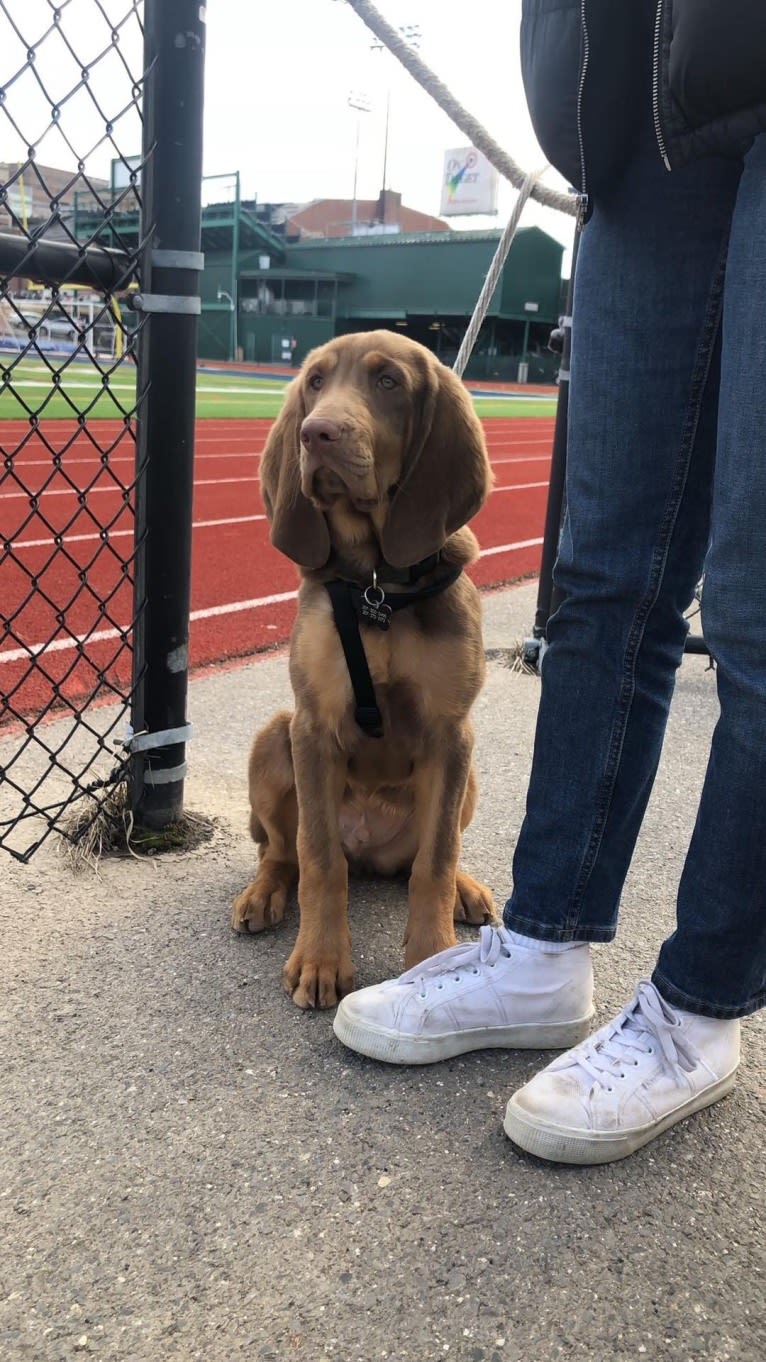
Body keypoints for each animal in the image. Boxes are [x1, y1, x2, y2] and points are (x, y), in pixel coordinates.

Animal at [231, 332, 496, 1013]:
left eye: (388, 383)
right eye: (315, 382)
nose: (317, 434)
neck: (380, 586)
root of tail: (372, 852)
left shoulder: (450, 732)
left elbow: (434, 861)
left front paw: (431, 959)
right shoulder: (314, 724)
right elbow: (320, 860)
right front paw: (321, 960)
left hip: (468, 772)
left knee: (423, 860)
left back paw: (467, 889)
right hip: (274, 736)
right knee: (284, 853)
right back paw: (262, 894)